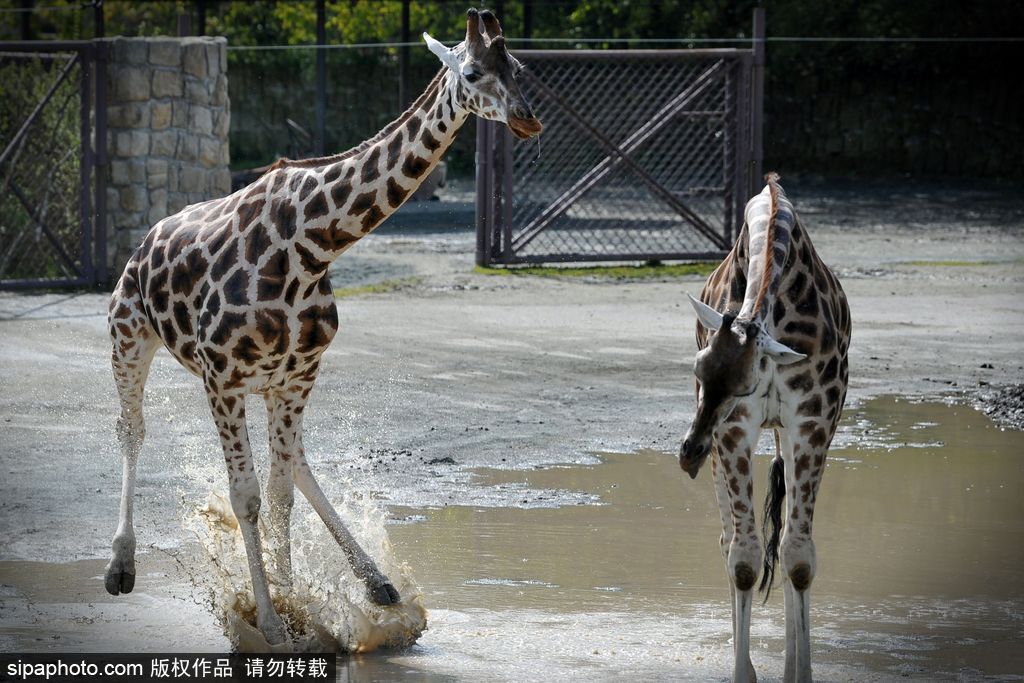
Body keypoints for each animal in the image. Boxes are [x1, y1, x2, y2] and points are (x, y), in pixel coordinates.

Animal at [101, 6, 544, 647]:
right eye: (472, 71)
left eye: (519, 68)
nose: (526, 118)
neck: (314, 242)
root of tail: (144, 241)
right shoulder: (223, 377)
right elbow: (246, 497)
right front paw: (270, 624)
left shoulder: (297, 373)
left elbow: (281, 493)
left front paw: (297, 606)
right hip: (129, 336)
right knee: (131, 429)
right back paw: (120, 566)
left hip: (267, 384)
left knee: (297, 460)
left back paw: (378, 584)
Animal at [679, 176, 847, 683]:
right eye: (697, 368)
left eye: (745, 384)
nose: (688, 454)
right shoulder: (734, 428)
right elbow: (744, 560)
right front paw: (743, 672)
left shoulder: (812, 421)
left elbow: (799, 557)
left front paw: (801, 672)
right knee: (728, 542)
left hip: (784, 436)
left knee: (787, 538)